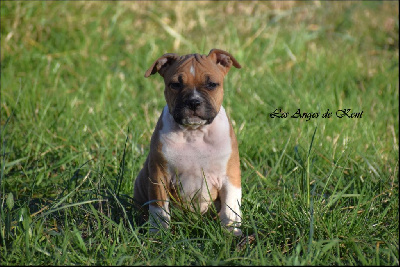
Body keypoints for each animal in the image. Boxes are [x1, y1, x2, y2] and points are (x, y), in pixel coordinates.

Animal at [134, 49, 242, 236]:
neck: (194, 133)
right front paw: (158, 234)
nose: (193, 101)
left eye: (211, 84)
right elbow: (159, 209)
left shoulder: (230, 176)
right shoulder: (159, 176)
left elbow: (230, 208)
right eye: (175, 84)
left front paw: (232, 233)